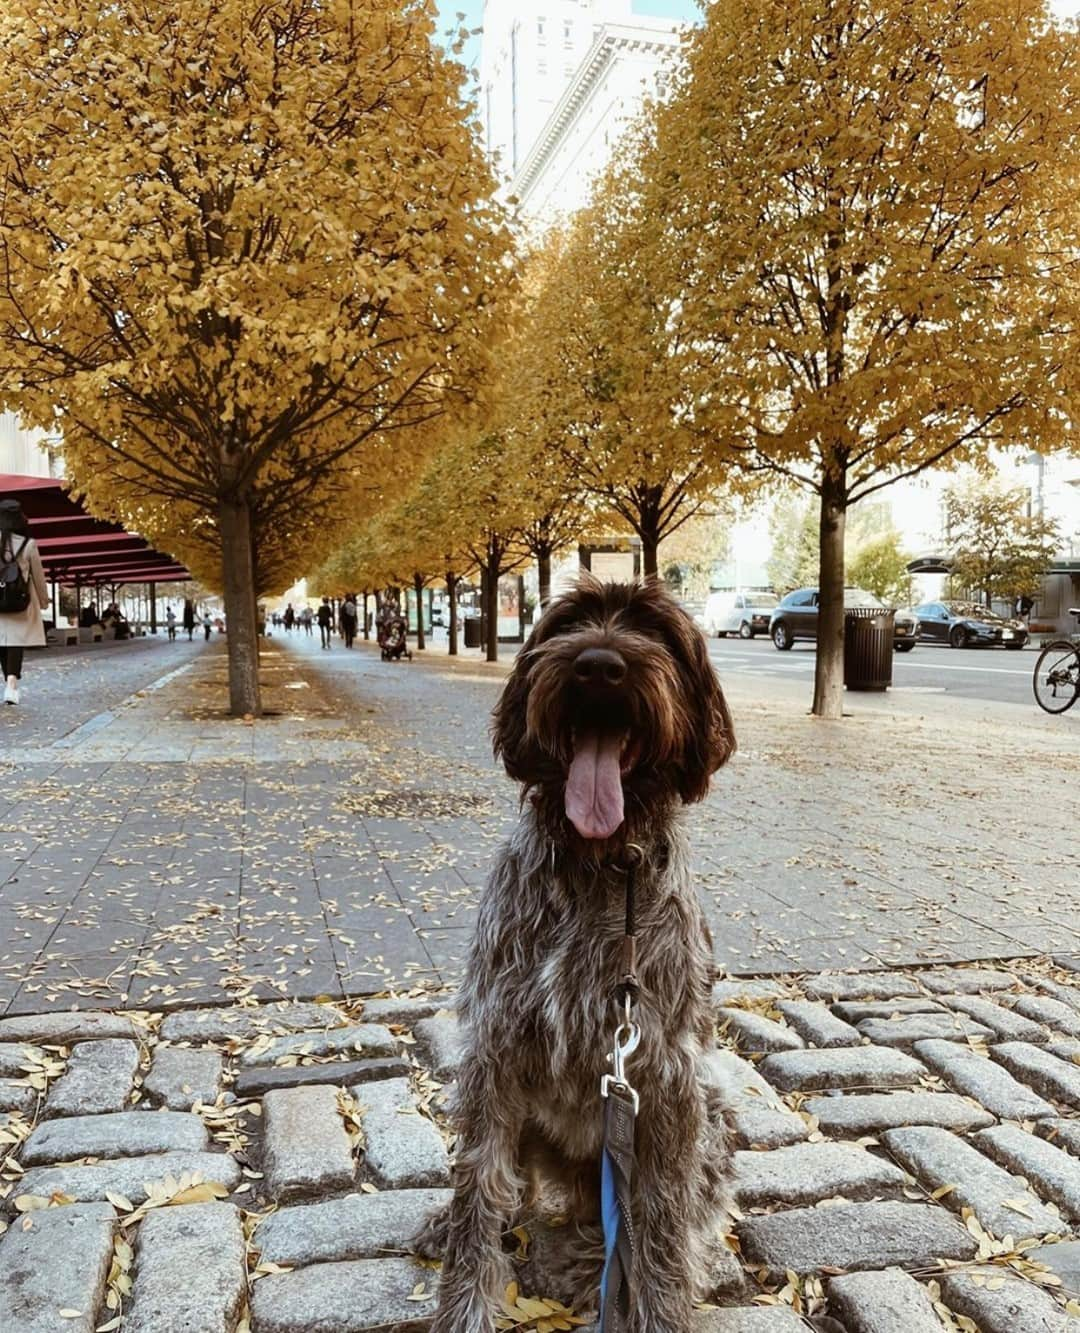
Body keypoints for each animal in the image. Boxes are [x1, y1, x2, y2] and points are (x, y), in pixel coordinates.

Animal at [416, 575, 736, 1333]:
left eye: (655, 628)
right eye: (567, 622)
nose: (598, 666)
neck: (599, 864)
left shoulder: (668, 1081)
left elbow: (662, 1223)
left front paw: (659, 1310)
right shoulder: (495, 1054)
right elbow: (480, 1187)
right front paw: (465, 1300)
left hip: (713, 1110)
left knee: (687, 1227)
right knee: (515, 1190)